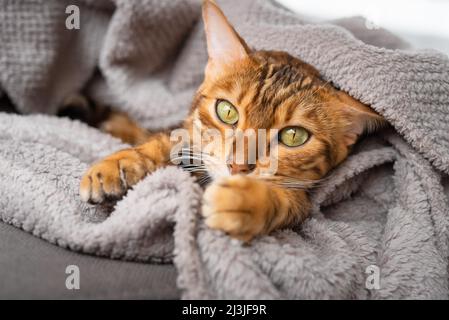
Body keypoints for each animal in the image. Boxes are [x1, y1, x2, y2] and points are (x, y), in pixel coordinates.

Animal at [79, 0, 384, 240]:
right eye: (227, 112)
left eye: (293, 136)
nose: (237, 167)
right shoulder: (184, 134)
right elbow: (167, 140)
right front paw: (117, 164)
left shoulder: (305, 202)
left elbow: (288, 202)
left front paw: (244, 201)